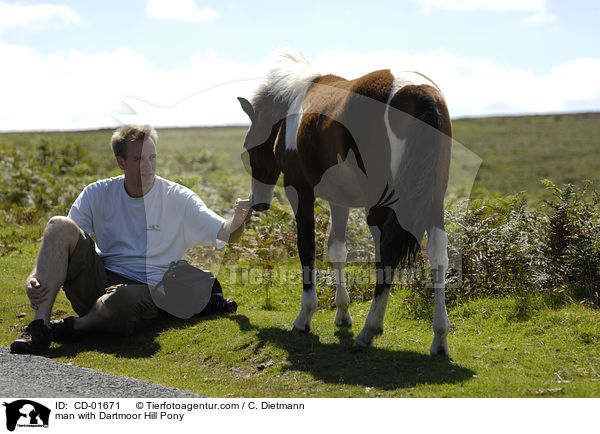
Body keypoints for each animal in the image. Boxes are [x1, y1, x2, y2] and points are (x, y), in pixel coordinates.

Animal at [237, 50, 452, 356]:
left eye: (250, 145)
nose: (258, 203)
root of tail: (419, 92)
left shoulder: (299, 191)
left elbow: (307, 247)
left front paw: (305, 316)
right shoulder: (340, 200)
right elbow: (337, 249)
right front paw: (342, 313)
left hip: (383, 203)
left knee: (387, 253)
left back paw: (370, 329)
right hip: (433, 199)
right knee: (438, 254)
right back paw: (440, 337)